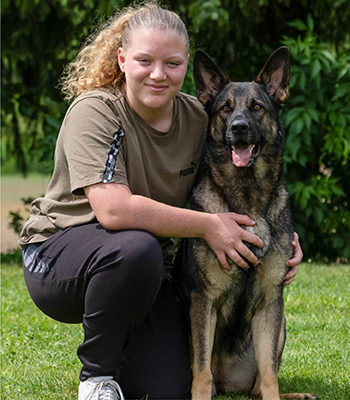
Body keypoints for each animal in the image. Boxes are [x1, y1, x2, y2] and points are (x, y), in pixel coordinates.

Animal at [172, 47, 318, 400]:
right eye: (226, 108)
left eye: (256, 107)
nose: (238, 127)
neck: (248, 197)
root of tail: (228, 386)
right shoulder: (204, 301)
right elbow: (201, 371)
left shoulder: (270, 302)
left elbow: (269, 376)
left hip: (281, 328)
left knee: (258, 384)